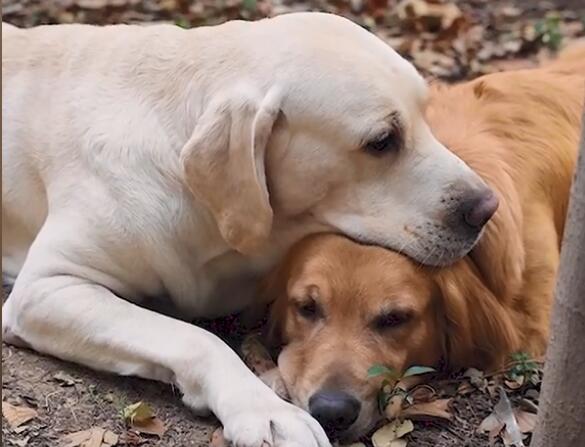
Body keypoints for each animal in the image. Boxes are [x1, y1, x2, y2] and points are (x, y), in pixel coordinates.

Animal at [2, 12, 498, 446]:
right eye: (381, 142)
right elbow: (195, 337)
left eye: (426, 116)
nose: (487, 208)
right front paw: (268, 411)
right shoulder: (46, 288)